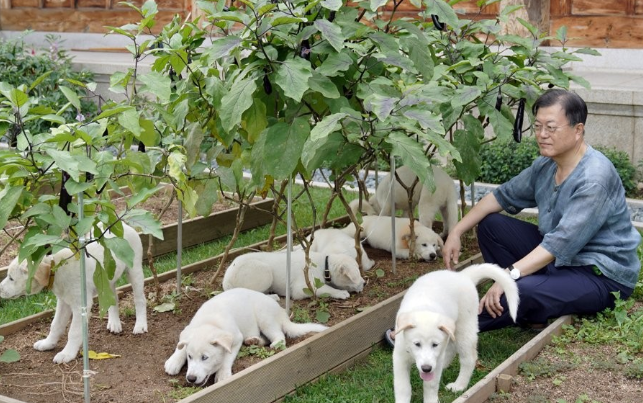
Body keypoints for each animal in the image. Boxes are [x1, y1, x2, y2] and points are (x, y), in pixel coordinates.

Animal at [0, 222, 147, 364]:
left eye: (11, 278)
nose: (0, 288)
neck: (56, 269)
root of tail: (124, 225)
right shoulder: (63, 302)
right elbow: (56, 325)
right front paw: (48, 343)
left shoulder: (80, 306)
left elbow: (74, 332)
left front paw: (67, 354)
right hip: (106, 280)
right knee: (113, 298)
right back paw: (114, 323)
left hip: (135, 271)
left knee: (140, 300)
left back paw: (140, 325)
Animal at [164, 288, 327, 385]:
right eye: (190, 357)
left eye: (205, 358)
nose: (190, 378)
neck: (210, 322)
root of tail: (282, 312)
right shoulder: (188, 330)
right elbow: (181, 346)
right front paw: (173, 361)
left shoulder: (236, 338)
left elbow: (227, 357)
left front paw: (222, 374)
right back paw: (253, 340)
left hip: (265, 317)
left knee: (279, 335)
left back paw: (275, 343)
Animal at [222, 250, 365, 300]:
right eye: (357, 275)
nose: (365, 283)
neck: (325, 264)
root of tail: (226, 281)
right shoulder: (302, 288)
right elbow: (326, 289)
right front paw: (340, 293)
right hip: (265, 272)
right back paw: (273, 297)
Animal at [392, 263, 519, 403]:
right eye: (417, 344)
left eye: (435, 345)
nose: (426, 368)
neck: (423, 308)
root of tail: (463, 275)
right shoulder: (399, 357)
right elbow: (403, 387)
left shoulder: (436, 357)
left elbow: (431, 385)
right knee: (451, 348)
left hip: (464, 329)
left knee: (468, 358)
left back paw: (459, 385)